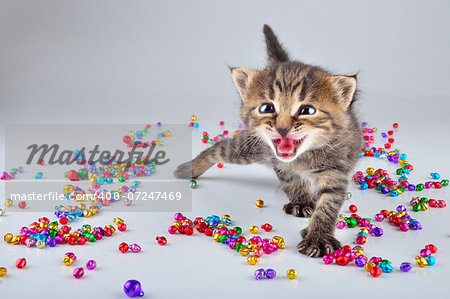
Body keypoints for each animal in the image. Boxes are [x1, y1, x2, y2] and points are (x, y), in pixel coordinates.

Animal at [174, 24, 360, 258]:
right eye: (267, 108)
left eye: (307, 110)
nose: (282, 128)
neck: (303, 158)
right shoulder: (276, 159)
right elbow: (290, 180)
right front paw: (301, 202)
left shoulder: (337, 167)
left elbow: (328, 202)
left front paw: (318, 235)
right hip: (249, 147)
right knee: (219, 149)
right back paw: (188, 169)